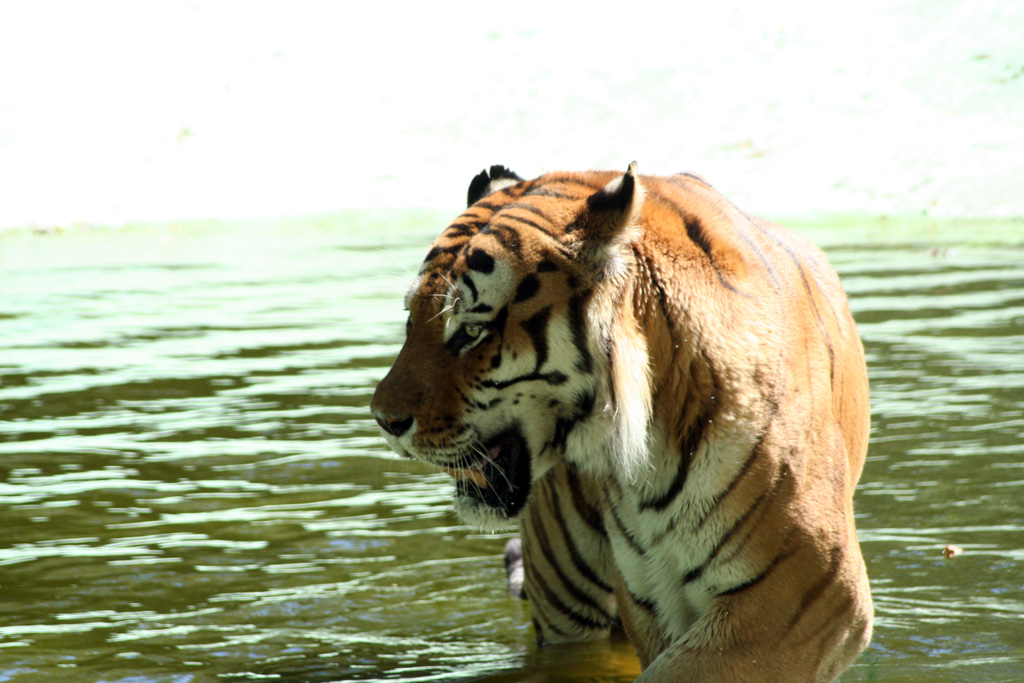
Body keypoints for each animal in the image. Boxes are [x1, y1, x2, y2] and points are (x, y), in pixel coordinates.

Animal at [371, 163, 873, 682]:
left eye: (471, 330)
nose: (384, 419)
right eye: (411, 320)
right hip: (566, 597)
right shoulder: (650, 599)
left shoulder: (807, 591)